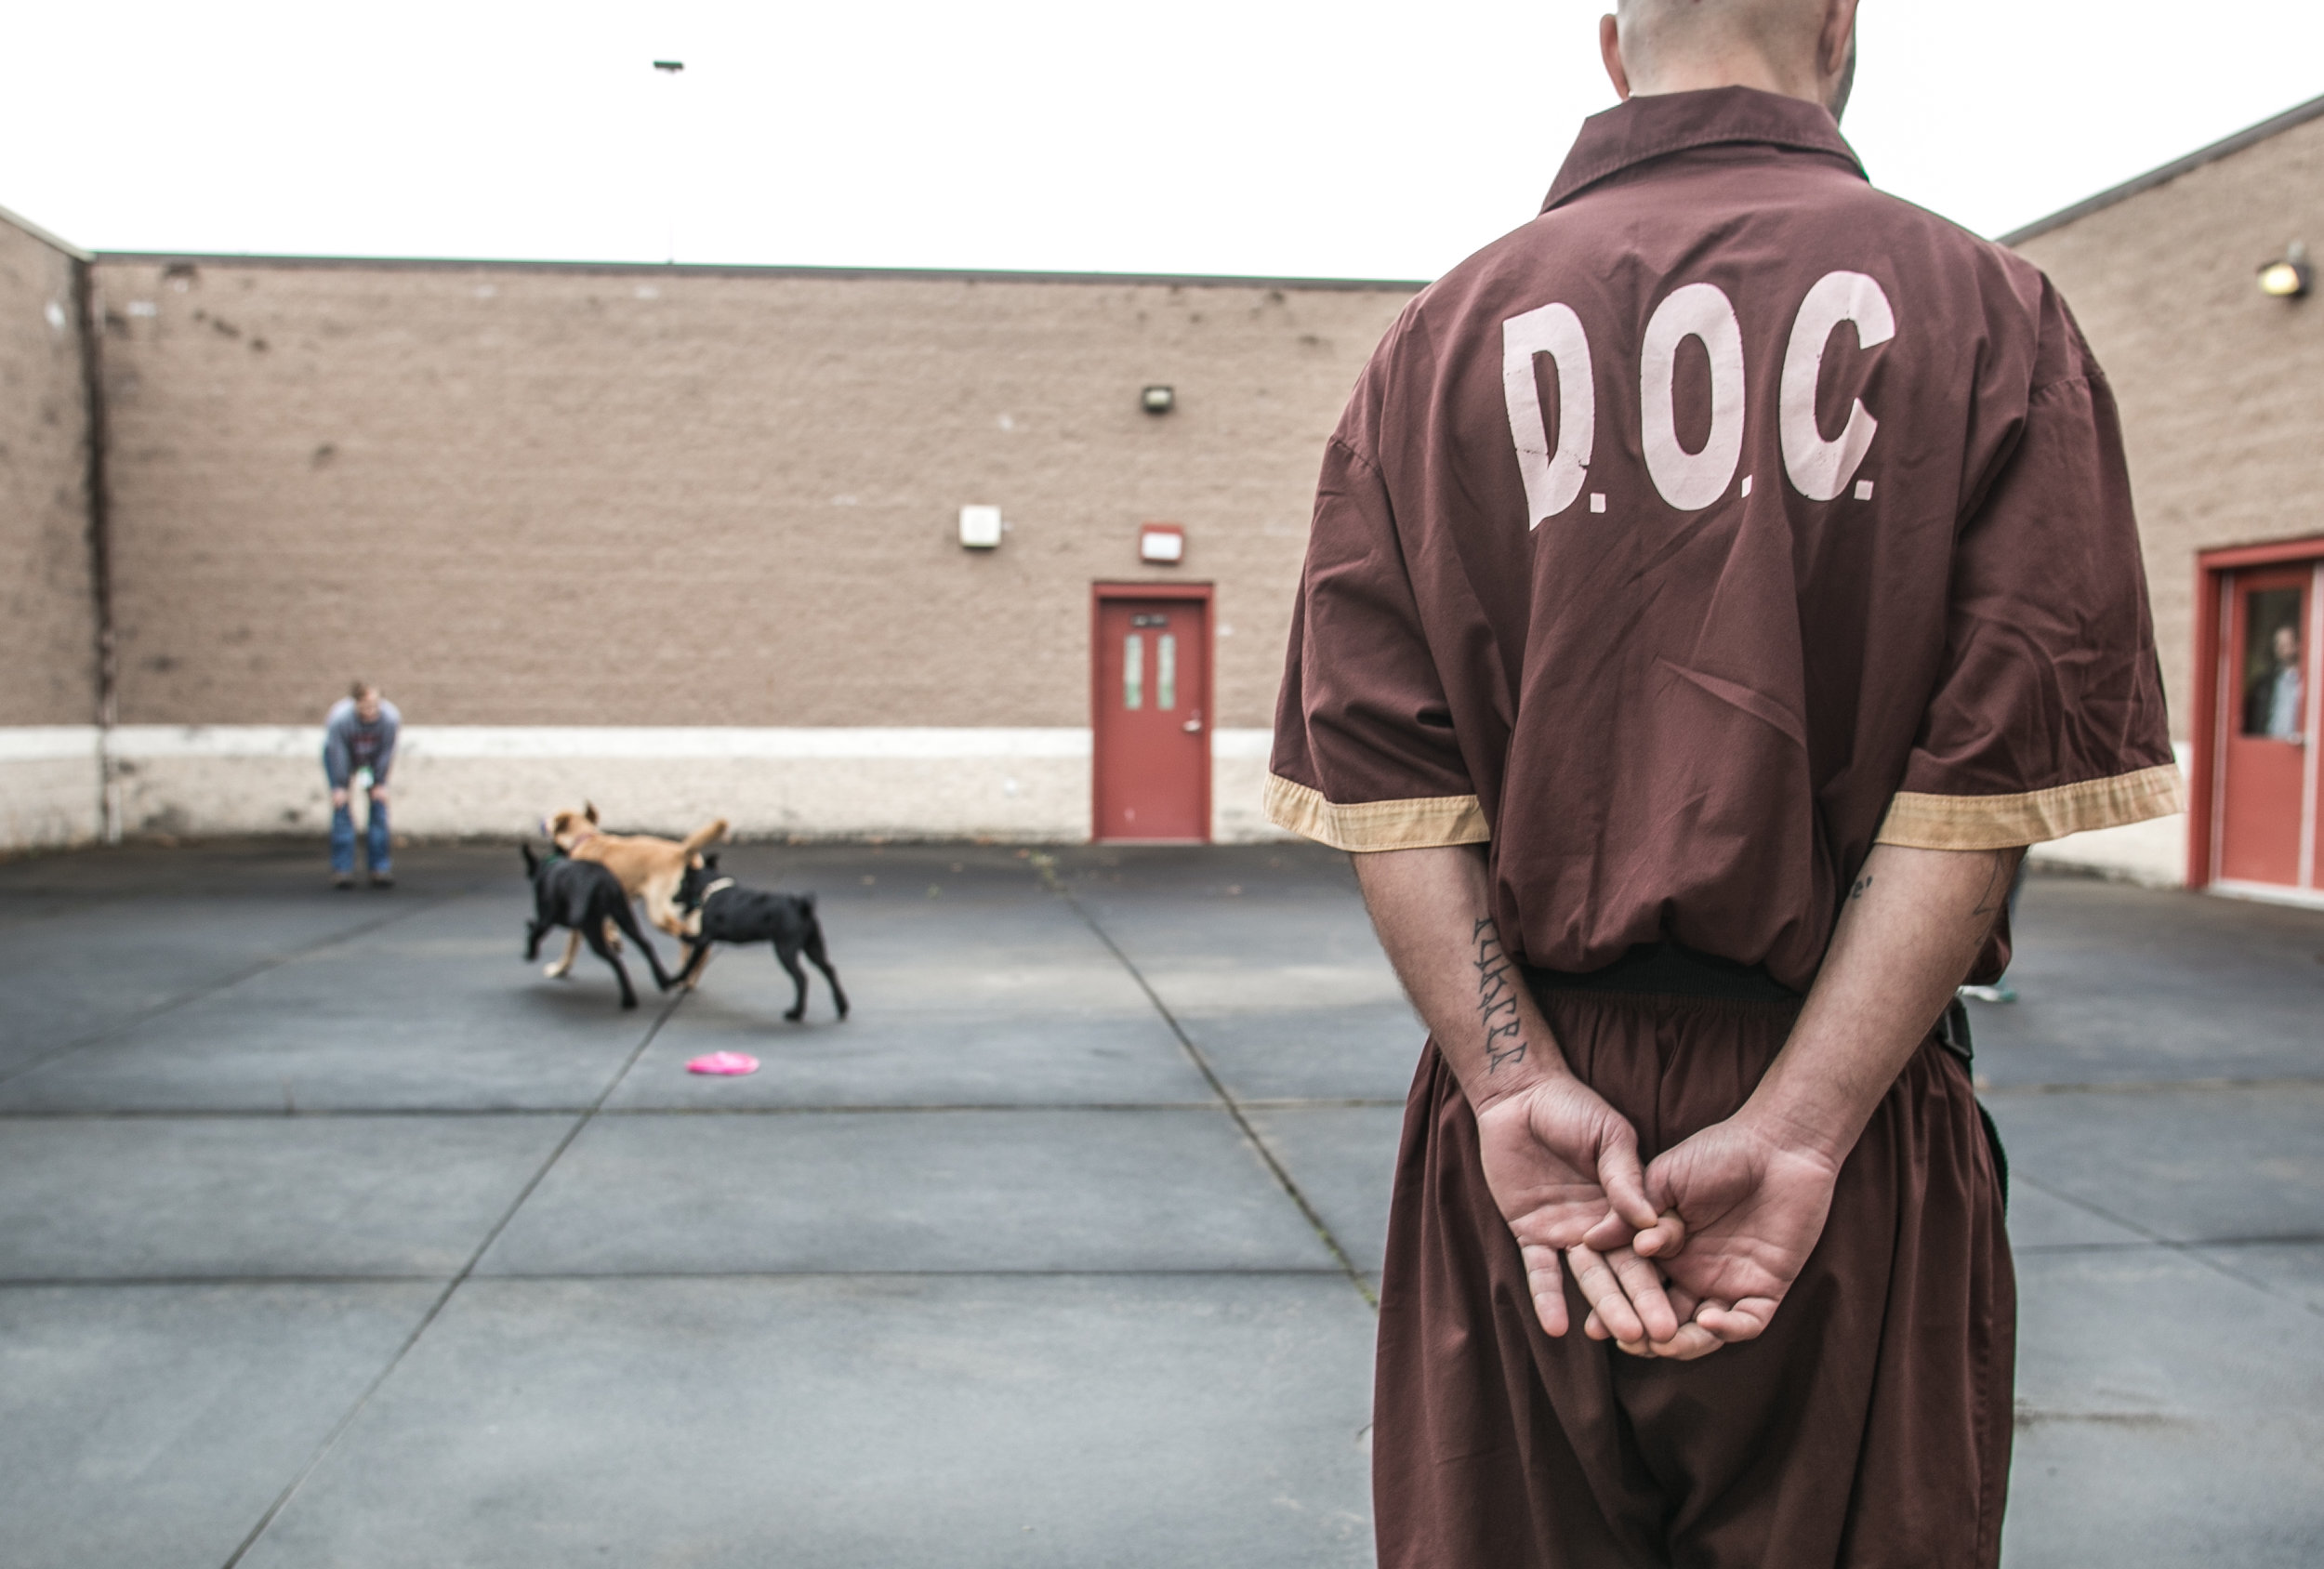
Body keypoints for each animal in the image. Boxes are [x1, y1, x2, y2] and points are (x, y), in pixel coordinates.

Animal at [522, 841, 679, 1013]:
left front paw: (530, 952)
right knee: (645, 944)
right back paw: (663, 980)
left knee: (616, 961)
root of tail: (601, 881)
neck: (552, 865)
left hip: (593, 928)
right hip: (624, 916)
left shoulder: (546, 919)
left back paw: (629, 999)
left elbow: (533, 933)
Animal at [544, 809, 725, 981]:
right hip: (691, 914)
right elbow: (611, 924)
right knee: (701, 944)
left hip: (660, 915)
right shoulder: (622, 900)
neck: (587, 839)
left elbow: (571, 947)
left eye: (552, 818)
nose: (543, 821)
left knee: (690, 939)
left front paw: (560, 969)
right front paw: (613, 939)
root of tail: (682, 853)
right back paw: (689, 977)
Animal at [679, 855, 851, 1022]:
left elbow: (688, 954)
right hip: (813, 945)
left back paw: (796, 1013)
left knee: (801, 978)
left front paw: (678, 976)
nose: (674, 897)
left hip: (785, 949)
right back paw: (841, 1006)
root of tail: (801, 905)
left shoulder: (703, 939)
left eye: (682, 884)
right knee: (829, 970)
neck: (713, 888)